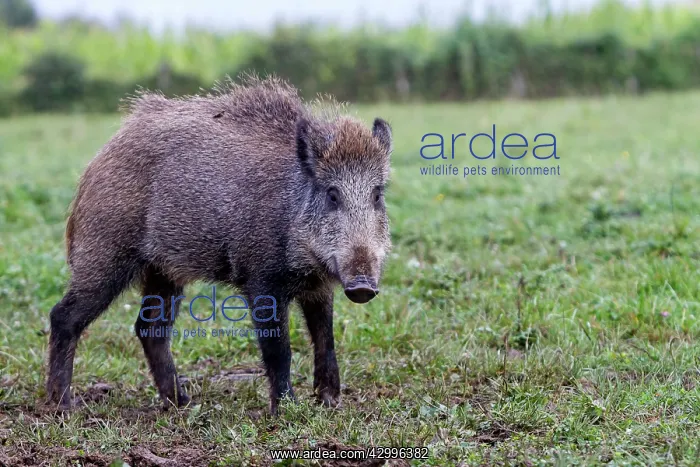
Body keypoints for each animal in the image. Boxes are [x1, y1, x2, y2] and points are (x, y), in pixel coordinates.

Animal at [45, 75, 393, 414]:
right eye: (332, 195)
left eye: (377, 195)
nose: (363, 286)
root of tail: (96, 163)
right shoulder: (261, 280)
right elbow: (278, 348)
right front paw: (287, 410)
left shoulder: (318, 287)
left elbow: (325, 338)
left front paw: (331, 403)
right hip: (105, 254)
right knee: (63, 316)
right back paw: (63, 406)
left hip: (162, 271)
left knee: (150, 327)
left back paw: (181, 403)